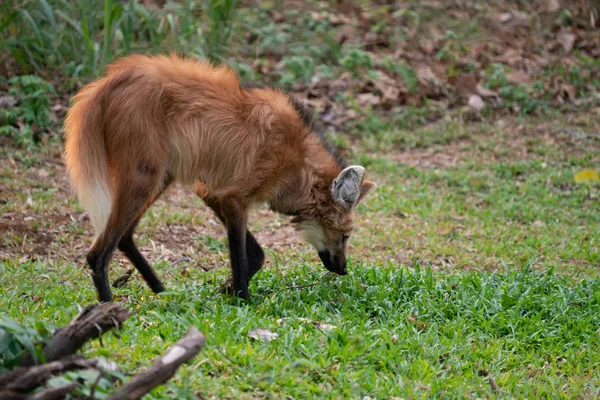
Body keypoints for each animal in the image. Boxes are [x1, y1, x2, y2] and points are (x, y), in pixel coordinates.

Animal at [64, 54, 376, 304]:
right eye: (345, 236)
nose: (344, 269)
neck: (298, 163)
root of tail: (107, 82)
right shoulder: (234, 197)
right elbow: (242, 253)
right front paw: (243, 299)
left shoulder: (212, 192)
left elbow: (255, 254)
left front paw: (227, 289)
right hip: (145, 177)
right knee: (98, 252)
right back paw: (108, 308)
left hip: (161, 176)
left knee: (125, 236)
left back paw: (161, 291)